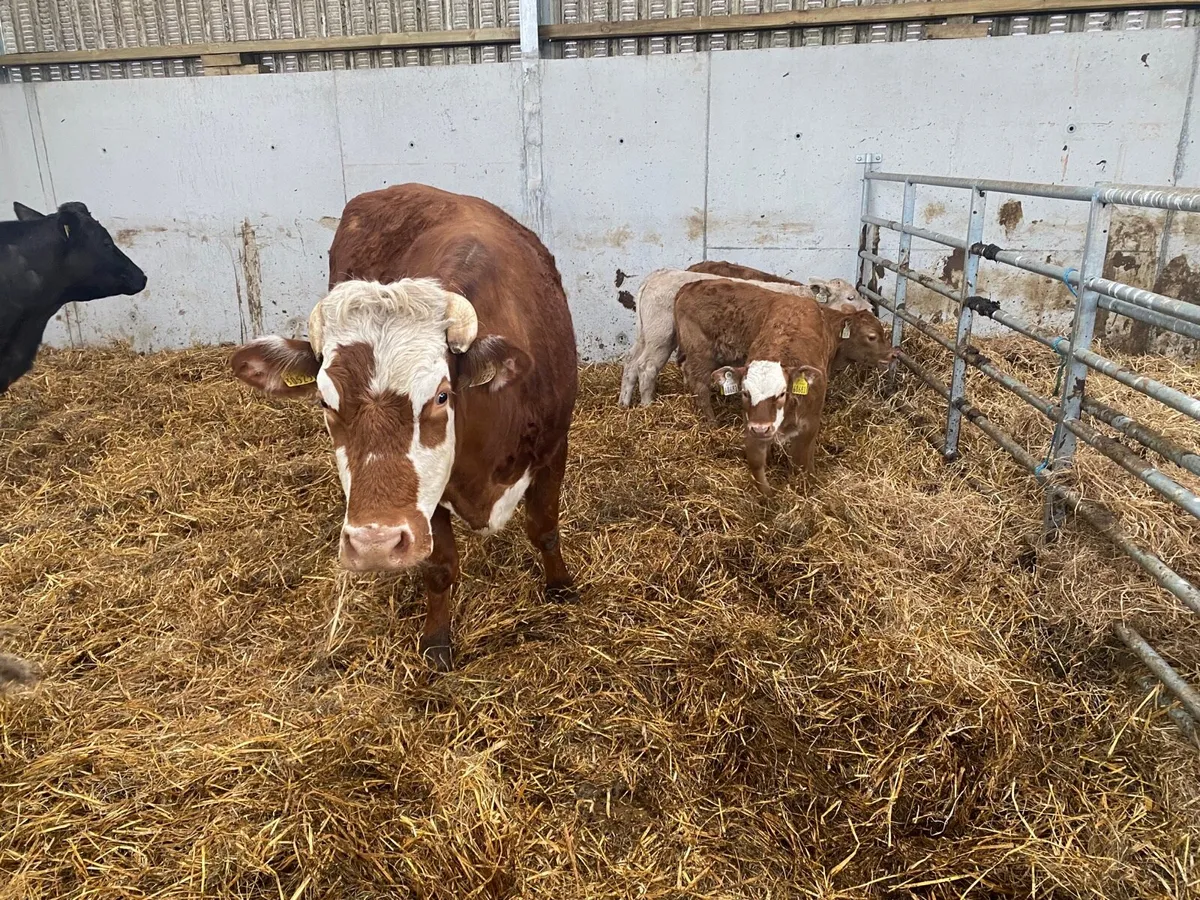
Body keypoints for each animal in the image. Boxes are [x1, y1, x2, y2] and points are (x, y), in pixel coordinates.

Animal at [230, 184, 578, 671]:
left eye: (442, 395)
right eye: (324, 401)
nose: (373, 543)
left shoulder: (554, 446)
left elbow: (544, 526)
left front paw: (561, 586)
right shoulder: (429, 502)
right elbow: (439, 566)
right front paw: (437, 639)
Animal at [674, 279, 896, 497]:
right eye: (872, 336)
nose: (892, 354)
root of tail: (688, 286)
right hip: (701, 354)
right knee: (699, 386)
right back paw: (711, 423)